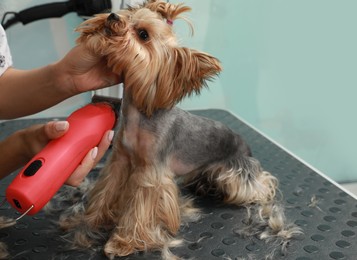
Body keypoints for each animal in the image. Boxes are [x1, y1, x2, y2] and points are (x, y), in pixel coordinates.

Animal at [58, 1, 300, 258]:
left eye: (143, 34)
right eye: (129, 14)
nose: (113, 15)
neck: (139, 115)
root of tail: (244, 143)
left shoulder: (151, 173)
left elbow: (140, 209)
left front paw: (124, 242)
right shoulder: (120, 161)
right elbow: (106, 192)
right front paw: (91, 220)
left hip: (237, 172)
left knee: (259, 183)